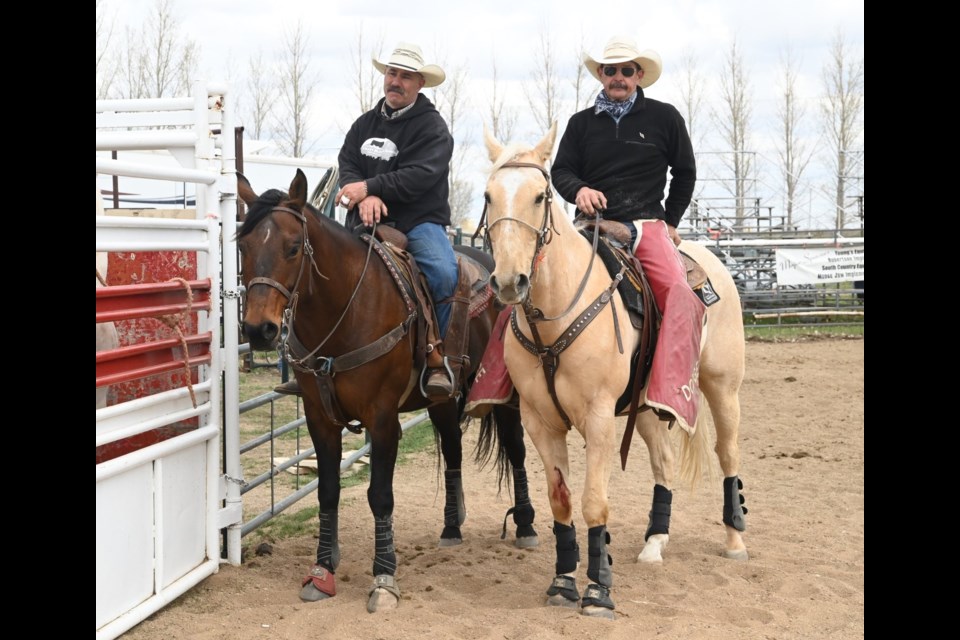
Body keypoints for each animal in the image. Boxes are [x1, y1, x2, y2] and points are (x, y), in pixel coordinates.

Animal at [238, 170, 540, 616]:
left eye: (293, 247)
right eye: (243, 245)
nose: (259, 330)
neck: (346, 308)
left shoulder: (382, 420)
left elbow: (380, 495)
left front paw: (384, 578)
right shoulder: (319, 419)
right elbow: (328, 492)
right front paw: (322, 571)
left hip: (504, 396)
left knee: (517, 450)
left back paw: (526, 524)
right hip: (442, 401)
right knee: (453, 450)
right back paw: (451, 527)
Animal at [484, 126, 748, 620]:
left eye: (539, 196)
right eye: (489, 195)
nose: (510, 282)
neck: (556, 317)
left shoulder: (599, 417)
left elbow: (593, 503)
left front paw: (598, 590)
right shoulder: (539, 421)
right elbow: (562, 502)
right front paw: (563, 581)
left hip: (722, 388)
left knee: (727, 455)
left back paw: (736, 538)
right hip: (646, 406)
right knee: (664, 463)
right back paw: (654, 542)